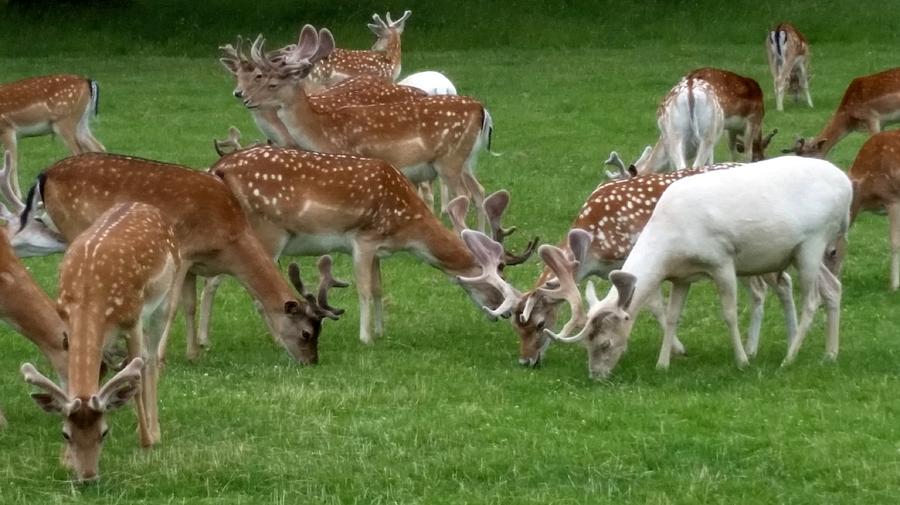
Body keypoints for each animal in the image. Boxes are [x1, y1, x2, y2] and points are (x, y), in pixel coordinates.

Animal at [21, 152, 346, 364]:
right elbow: (173, 306)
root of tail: (44, 174)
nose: (312, 361)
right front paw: (161, 355)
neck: (228, 242)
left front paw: (193, 353)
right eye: (306, 333)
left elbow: (190, 305)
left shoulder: (194, 265)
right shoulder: (184, 253)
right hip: (74, 227)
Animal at [21, 201, 182, 480]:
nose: (88, 477)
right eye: (66, 434)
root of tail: (144, 205)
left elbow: (135, 379)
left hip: (165, 295)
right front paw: (65, 460)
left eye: (104, 433)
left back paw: (154, 430)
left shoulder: (132, 321)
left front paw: (146, 441)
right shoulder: (68, 325)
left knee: (151, 360)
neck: (90, 296)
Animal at [199, 144, 536, 344]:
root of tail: (217, 168)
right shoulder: (362, 238)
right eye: (497, 277)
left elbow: (377, 288)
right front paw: (365, 338)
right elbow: (362, 289)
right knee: (234, 287)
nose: (504, 314)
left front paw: (381, 332)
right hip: (266, 232)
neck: (406, 229)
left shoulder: (378, 249)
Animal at [243, 27, 496, 228]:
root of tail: (480, 109)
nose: (245, 99)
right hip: (465, 160)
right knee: (479, 191)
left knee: (463, 196)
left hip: (450, 160)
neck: (322, 132)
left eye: (272, 83)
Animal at [540, 158, 852, 378]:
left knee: (811, 300)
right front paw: (663, 364)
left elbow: (729, 313)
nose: (596, 375)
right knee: (833, 288)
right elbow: (672, 316)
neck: (672, 243)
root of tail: (847, 186)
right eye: (586, 343)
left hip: (813, 241)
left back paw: (789, 359)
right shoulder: (682, 277)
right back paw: (831, 354)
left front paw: (741, 360)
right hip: (803, 252)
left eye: (604, 343)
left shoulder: (722, 259)